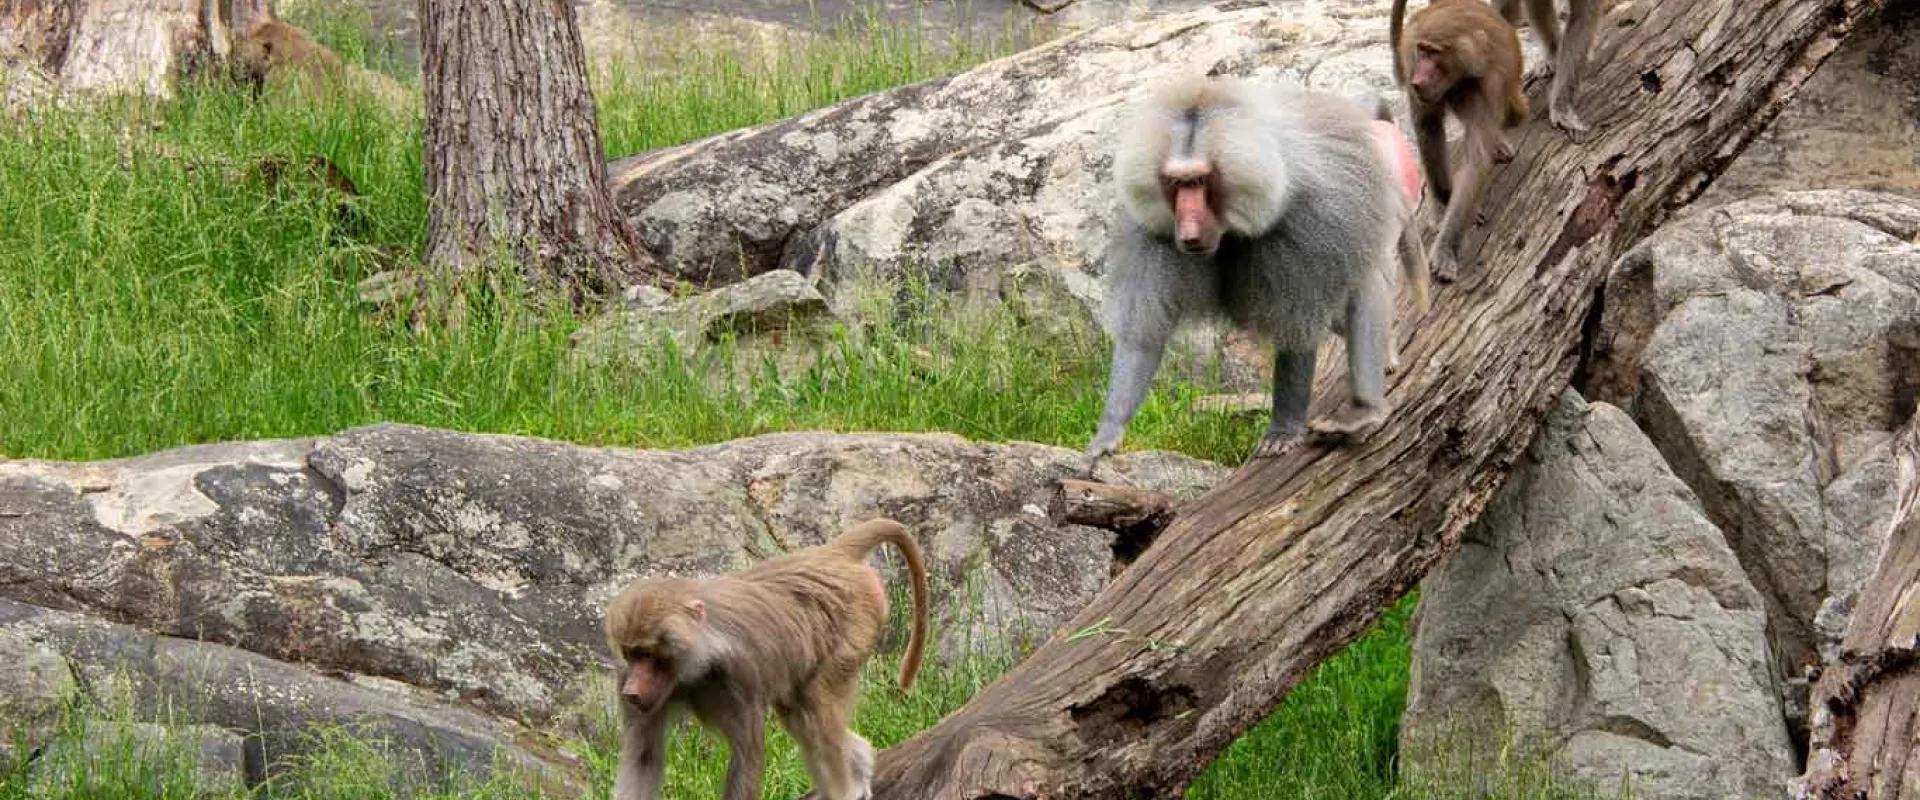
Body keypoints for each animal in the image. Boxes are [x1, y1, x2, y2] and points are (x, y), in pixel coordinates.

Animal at [605, 518, 929, 800]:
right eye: (631, 654)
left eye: (647, 654)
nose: (631, 692)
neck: (696, 661)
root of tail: (834, 553)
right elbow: (643, 758)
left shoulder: (741, 674)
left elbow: (746, 757)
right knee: (800, 716)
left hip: (855, 625)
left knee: (818, 715)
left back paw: (847, 789)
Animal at [1084, 77, 1429, 465]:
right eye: (1175, 183)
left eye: (1200, 181)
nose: (1187, 232)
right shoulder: (1152, 231)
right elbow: (1142, 336)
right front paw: (1109, 431)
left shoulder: (1305, 223)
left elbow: (1296, 332)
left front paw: (1283, 430)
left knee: (1365, 286)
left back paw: (1366, 410)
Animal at [1389, 0, 1528, 282]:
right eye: (1422, 51)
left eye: (1434, 53)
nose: (1417, 81)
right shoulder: (1412, 63)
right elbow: (1428, 128)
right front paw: (1444, 204)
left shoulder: (1489, 84)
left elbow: (1476, 158)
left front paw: (1446, 246)